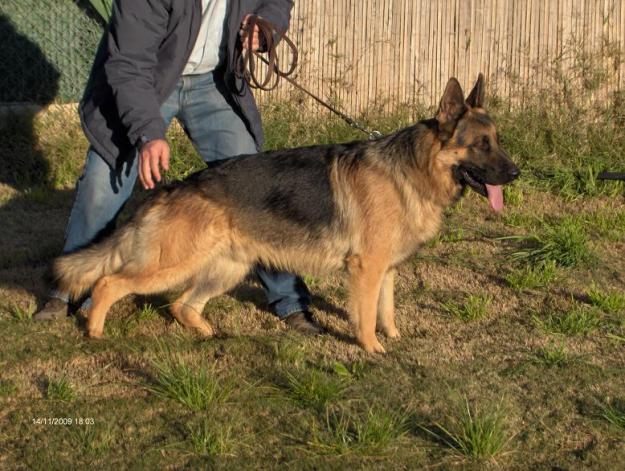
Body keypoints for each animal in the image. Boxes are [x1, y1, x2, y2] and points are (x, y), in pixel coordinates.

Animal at [56, 74, 516, 354]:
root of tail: (176, 187)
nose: (516, 173)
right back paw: (95, 331)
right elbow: (367, 316)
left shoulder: (385, 270)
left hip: (226, 269)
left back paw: (206, 333)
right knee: (110, 283)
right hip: (172, 265)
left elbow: (387, 311)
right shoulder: (366, 270)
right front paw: (371, 350)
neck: (412, 168)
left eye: (497, 141)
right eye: (481, 145)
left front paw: (395, 339)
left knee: (182, 305)